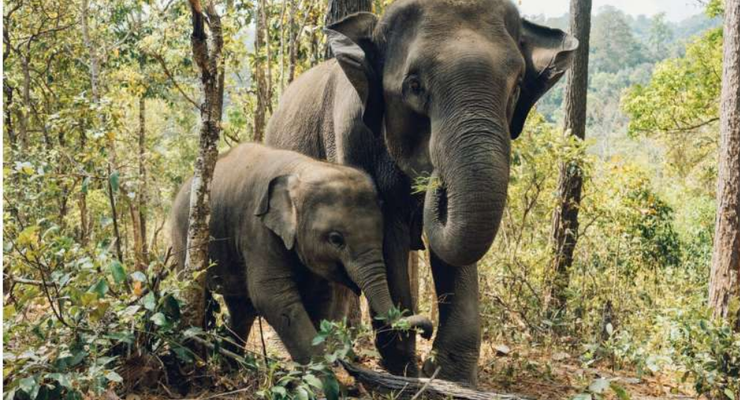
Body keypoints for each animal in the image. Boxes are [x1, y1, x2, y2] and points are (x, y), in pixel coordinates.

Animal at [170, 145, 430, 366]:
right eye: (336, 239)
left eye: (381, 234)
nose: (427, 330)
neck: (302, 170)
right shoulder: (258, 231)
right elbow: (273, 297)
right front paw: (328, 379)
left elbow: (320, 297)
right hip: (183, 238)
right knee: (198, 292)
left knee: (242, 308)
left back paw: (231, 364)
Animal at [266, 0, 580, 382]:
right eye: (414, 86)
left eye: (518, 87)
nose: (433, 179)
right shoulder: (351, 136)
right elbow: (387, 235)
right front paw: (405, 368)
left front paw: (450, 375)